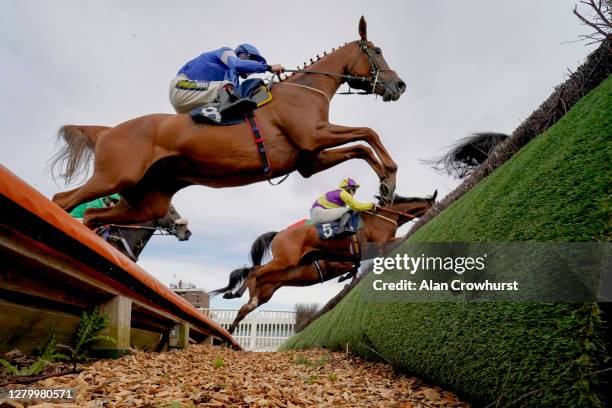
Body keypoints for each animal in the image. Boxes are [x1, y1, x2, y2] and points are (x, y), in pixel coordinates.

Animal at [51, 17, 406, 228]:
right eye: (376, 50)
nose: (399, 85)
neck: (305, 90)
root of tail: (108, 131)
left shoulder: (309, 160)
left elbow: (361, 147)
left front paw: (386, 187)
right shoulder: (313, 136)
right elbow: (368, 134)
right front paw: (389, 177)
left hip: (146, 202)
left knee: (92, 215)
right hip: (114, 176)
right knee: (62, 201)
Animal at [213, 192, 438, 334]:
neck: (382, 218)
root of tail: (280, 233)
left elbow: (355, 267)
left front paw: (347, 281)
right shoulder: (378, 245)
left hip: (269, 288)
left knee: (246, 302)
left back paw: (230, 329)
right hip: (284, 261)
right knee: (253, 272)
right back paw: (235, 297)